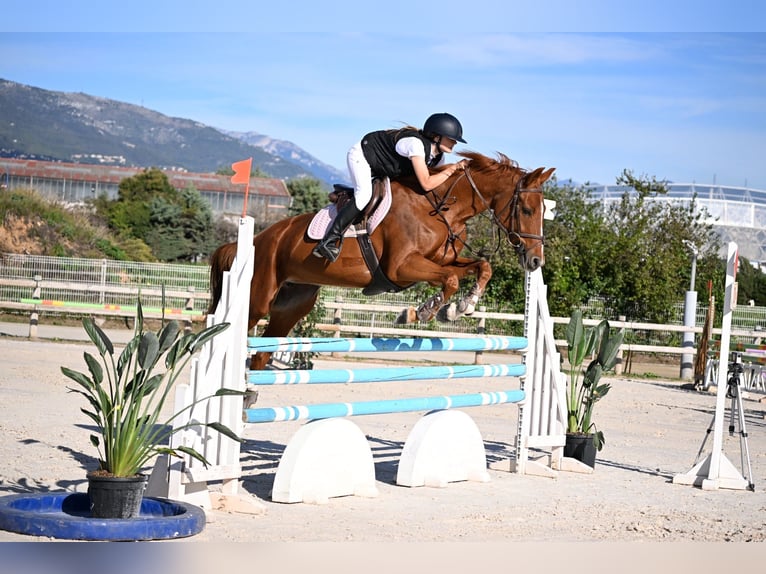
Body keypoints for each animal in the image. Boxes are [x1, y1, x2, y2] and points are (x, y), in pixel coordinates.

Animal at [210, 152, 560, 374]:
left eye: (543, 211)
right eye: (527, 210)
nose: (535, 260)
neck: (441, 208)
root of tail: (257, 239)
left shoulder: (441, 260)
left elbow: (479, 268)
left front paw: (461, 307)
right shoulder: (401, 268)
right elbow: (450, 279)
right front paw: (422, 312)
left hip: (292, 304)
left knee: (264, 348)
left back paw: (249, 398)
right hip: (259, 297)